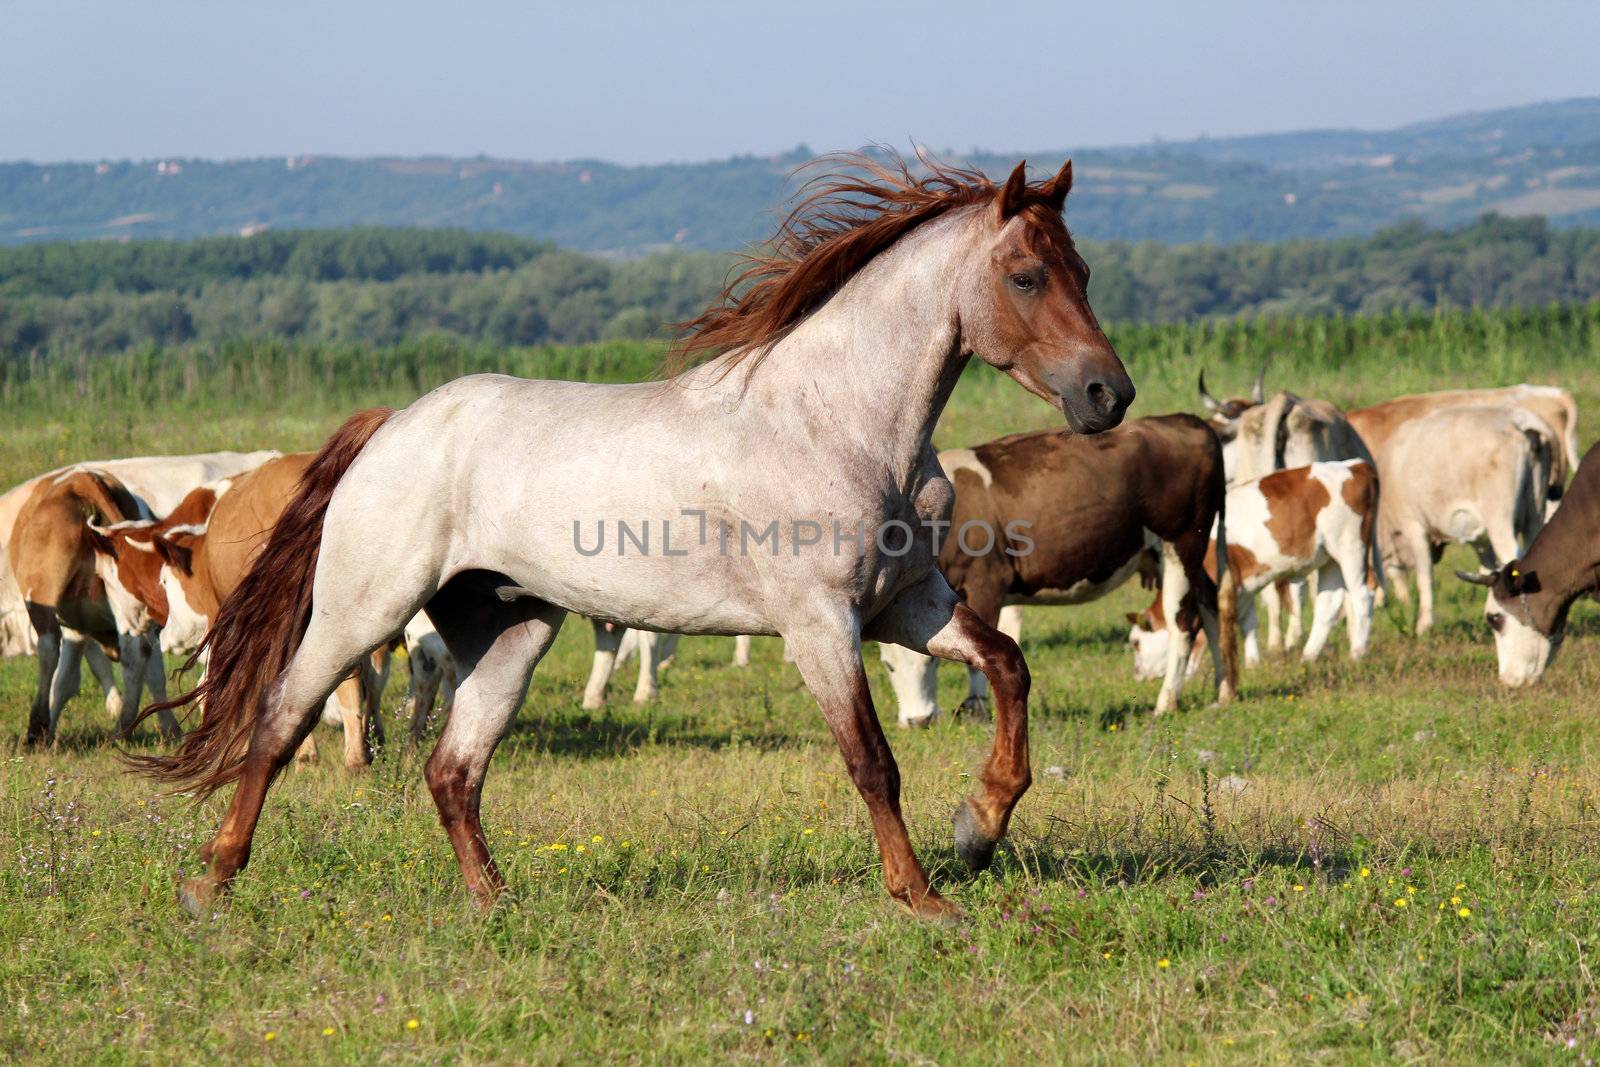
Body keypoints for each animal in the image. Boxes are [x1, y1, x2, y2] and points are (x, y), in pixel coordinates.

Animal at [134, 154, 1139, 921]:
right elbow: (873, 761)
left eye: (1086, 273)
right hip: (363, 610)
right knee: (280, 720)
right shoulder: (821, 623)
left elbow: (1008, 666)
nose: (1109, 395)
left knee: (452, 768)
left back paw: (496, 901)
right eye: (1025, 276)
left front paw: (980, 826)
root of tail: (392, 427)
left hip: (510, 631)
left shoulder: (910, 604)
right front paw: (924, 895)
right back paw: (211, 882)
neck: (840, 423)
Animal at [876, 412, 1235, 729]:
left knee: (1183, 624)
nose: (918, 721)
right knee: (1210, 605)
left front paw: (976, 710)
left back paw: (1166, 702)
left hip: (1182, 545)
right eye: (889, 667)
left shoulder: (986, 584)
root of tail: (1185, 419)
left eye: (931, 660)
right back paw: (1223, 692)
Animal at [1132, 457, 1382, 675]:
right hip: (1330, 558)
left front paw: (1191, 671)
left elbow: (1204, 634)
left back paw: (1357, 652)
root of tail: (1356, 465)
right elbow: (1249, 623)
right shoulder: (1241, 584)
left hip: (1350, 547)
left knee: (1362, 593)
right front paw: (1252, 663)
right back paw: (1308, 656)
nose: (1137, 674)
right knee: (1327, 603)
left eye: (1136, 642)